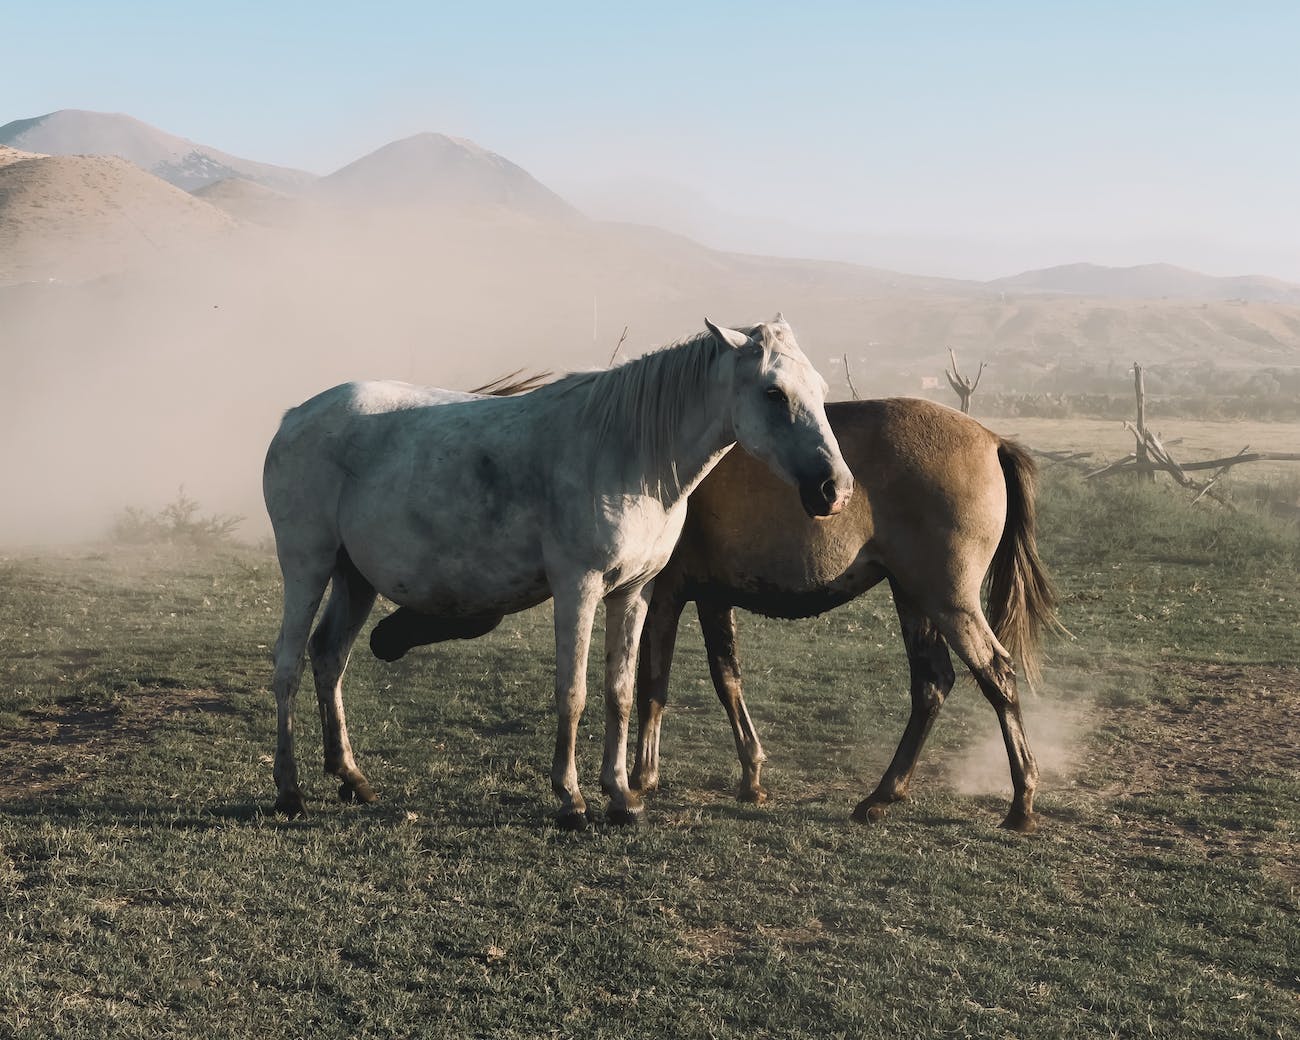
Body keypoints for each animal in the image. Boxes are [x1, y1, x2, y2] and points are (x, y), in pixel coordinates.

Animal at [263, 317, 852, 826]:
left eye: (820, 389)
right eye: (773, 392)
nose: (835, 489)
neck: (628, 453)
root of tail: (295, 416)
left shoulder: (633, 593)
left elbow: (620, 692)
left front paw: (621, 796)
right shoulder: (578, 589)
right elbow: (572, 693)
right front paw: (571, 798)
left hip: (354, 579)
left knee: (329, 658)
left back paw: (351, 777)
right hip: (308, 565)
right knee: (289, 665)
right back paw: (290, 791)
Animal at [626, 395, 1055, 832]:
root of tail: (992, 440)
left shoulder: (662, 595)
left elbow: (652, 686)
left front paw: (642, 777)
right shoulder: (713, 598)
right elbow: (727, 680)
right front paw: (752, 776)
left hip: (949, 601)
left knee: (996, 676)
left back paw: (1021, 799)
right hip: (914, 597)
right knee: (932, 684)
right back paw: (884, 794)